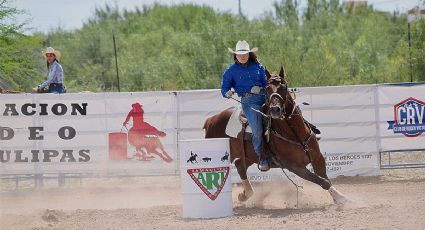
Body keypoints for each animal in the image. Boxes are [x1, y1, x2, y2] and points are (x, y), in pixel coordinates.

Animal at [204, 66, 350, 203]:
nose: (275, 109)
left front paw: (341, 197)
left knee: (240, 165)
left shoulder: (318, 158)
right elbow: (323, 182)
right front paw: (341, 199)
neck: (295, 134)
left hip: (250, 155)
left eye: (283, 87)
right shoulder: (295, 167)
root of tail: (211, 120)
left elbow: (326, 179)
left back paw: (245, 195)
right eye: (267, 88)